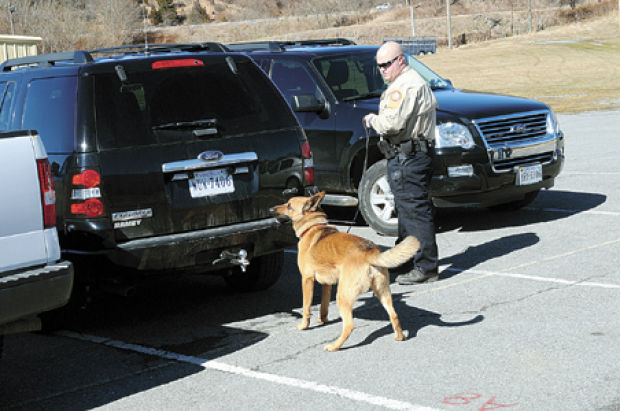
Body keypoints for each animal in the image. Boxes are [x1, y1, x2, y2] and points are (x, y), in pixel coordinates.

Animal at [272, 192, 422, 350]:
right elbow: (324, 306)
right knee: (394, 314)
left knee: (349, 326)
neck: (313, 226)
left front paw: (304, 326)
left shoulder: (307, 280)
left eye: (289, 206)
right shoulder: (327, 284)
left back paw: (334, 346)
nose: (271, 209)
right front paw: (322, 319)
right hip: (382, 292)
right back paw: (400, 336)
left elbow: (306, 307)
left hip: (342, 296)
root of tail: (370, 252)